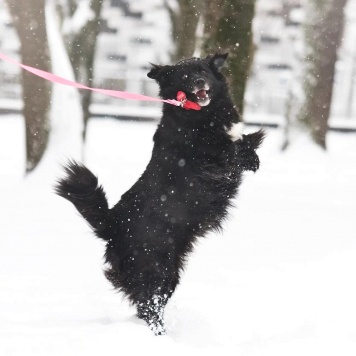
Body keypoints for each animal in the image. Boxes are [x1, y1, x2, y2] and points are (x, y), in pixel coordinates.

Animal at [56, 52, 264, 334]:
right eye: (184, 76)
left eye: (202, 71)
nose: (199, 81)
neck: (197, 115)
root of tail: (112, 225)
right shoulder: (210, 159)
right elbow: (231, 149)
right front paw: (251, 151)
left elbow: (241, 139)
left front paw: (252, 144)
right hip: (156, 269)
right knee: (149, 305)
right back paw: (160, 334)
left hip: (168, 270)